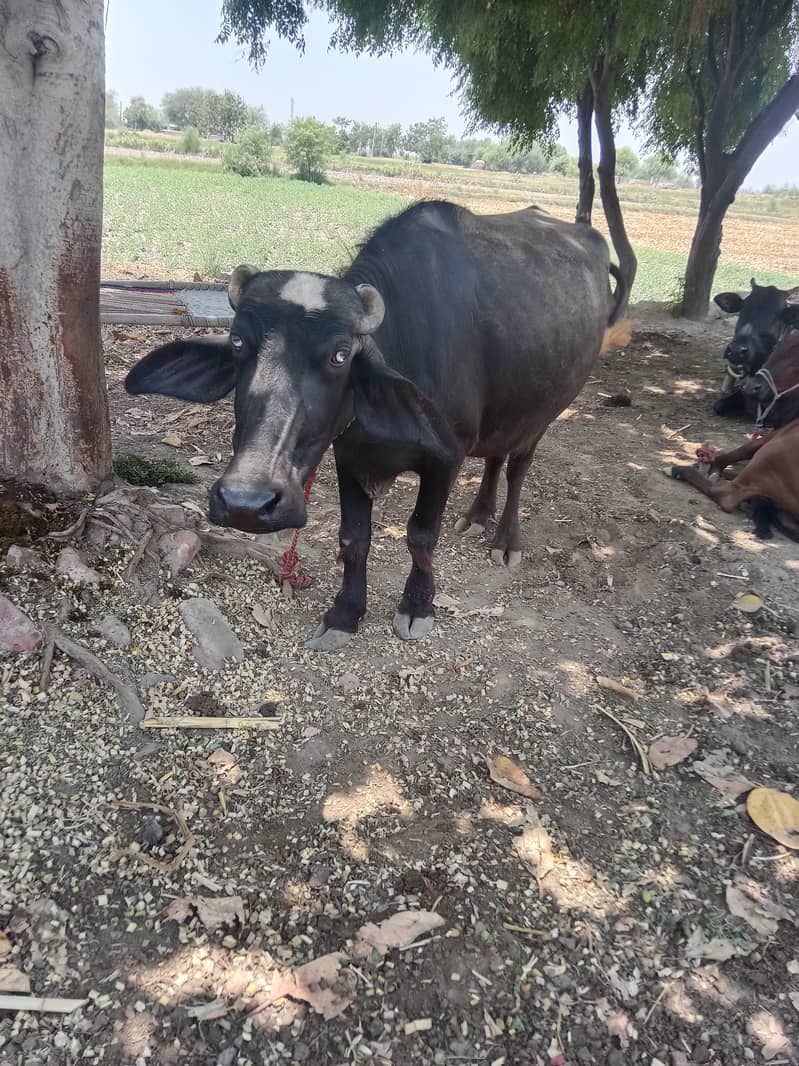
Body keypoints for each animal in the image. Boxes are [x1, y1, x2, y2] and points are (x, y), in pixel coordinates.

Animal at [126, 201, 627, 650]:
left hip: (544, 413)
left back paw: (505, 539)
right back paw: (477, 515)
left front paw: (417, 607)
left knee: (519, 466)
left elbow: (422, 537)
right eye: (236, 343)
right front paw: (345, 613)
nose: (246, 503)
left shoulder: (446, 458)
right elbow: (354, 538)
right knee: (496, 455)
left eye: (340, 355)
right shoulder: (348, 454)